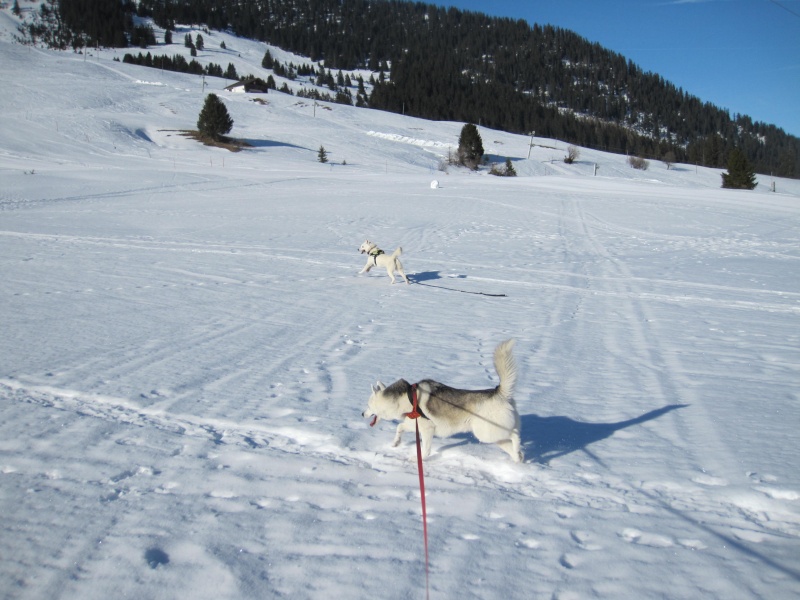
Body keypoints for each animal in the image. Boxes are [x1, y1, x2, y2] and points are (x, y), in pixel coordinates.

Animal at [364, 340, 524, 462]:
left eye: (368, 405)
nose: (361, 414)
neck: (408, 398)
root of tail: (499, 393)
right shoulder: (413, 425)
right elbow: (399, 427)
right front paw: (396, 443)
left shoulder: (427, 429)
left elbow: (425, 450)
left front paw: (418, 460)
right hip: (495, 436)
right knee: (514, 445)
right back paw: (518, 457)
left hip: (486, 432)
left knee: (515, 434)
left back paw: (517, 447)